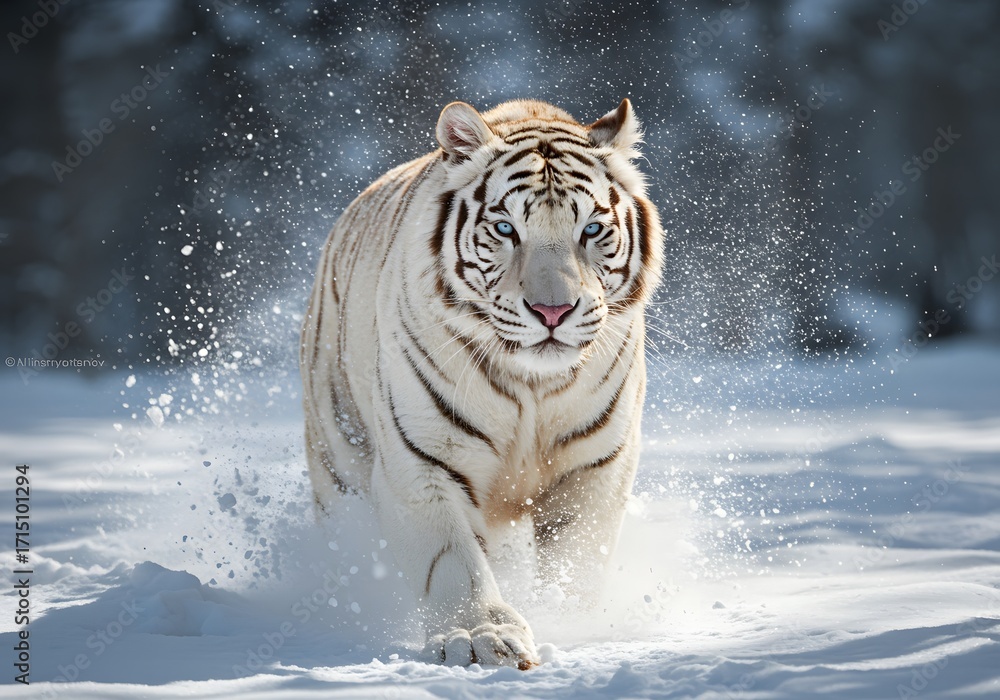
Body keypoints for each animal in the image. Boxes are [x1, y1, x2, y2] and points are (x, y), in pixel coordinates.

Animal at [300, 98, 664, 669]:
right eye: (506, 229)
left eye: (590, 230)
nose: (553, 311)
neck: (533, 385)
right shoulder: (423, 460)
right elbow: (453, 561)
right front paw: (480, 638)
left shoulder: (595, 464)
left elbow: (577, 561)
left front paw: (572, 619)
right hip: (338, 460)